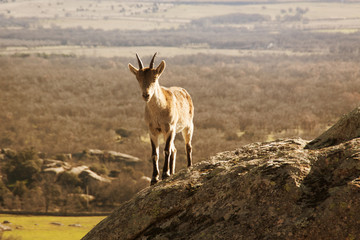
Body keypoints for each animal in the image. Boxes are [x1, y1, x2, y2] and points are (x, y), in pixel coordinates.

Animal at [128, 53, 193, 185]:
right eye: (138, 79)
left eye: (154, 78)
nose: (146, 95)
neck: (159, 110)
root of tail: (185, 92)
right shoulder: (152, 131)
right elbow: (155, 154)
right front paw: (154, 178)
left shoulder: (170, 128)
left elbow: (166, 150)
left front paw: (165, 174)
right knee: (174, 150)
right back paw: (172, 172)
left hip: (188, 126)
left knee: (187, 146)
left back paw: (188, 166)